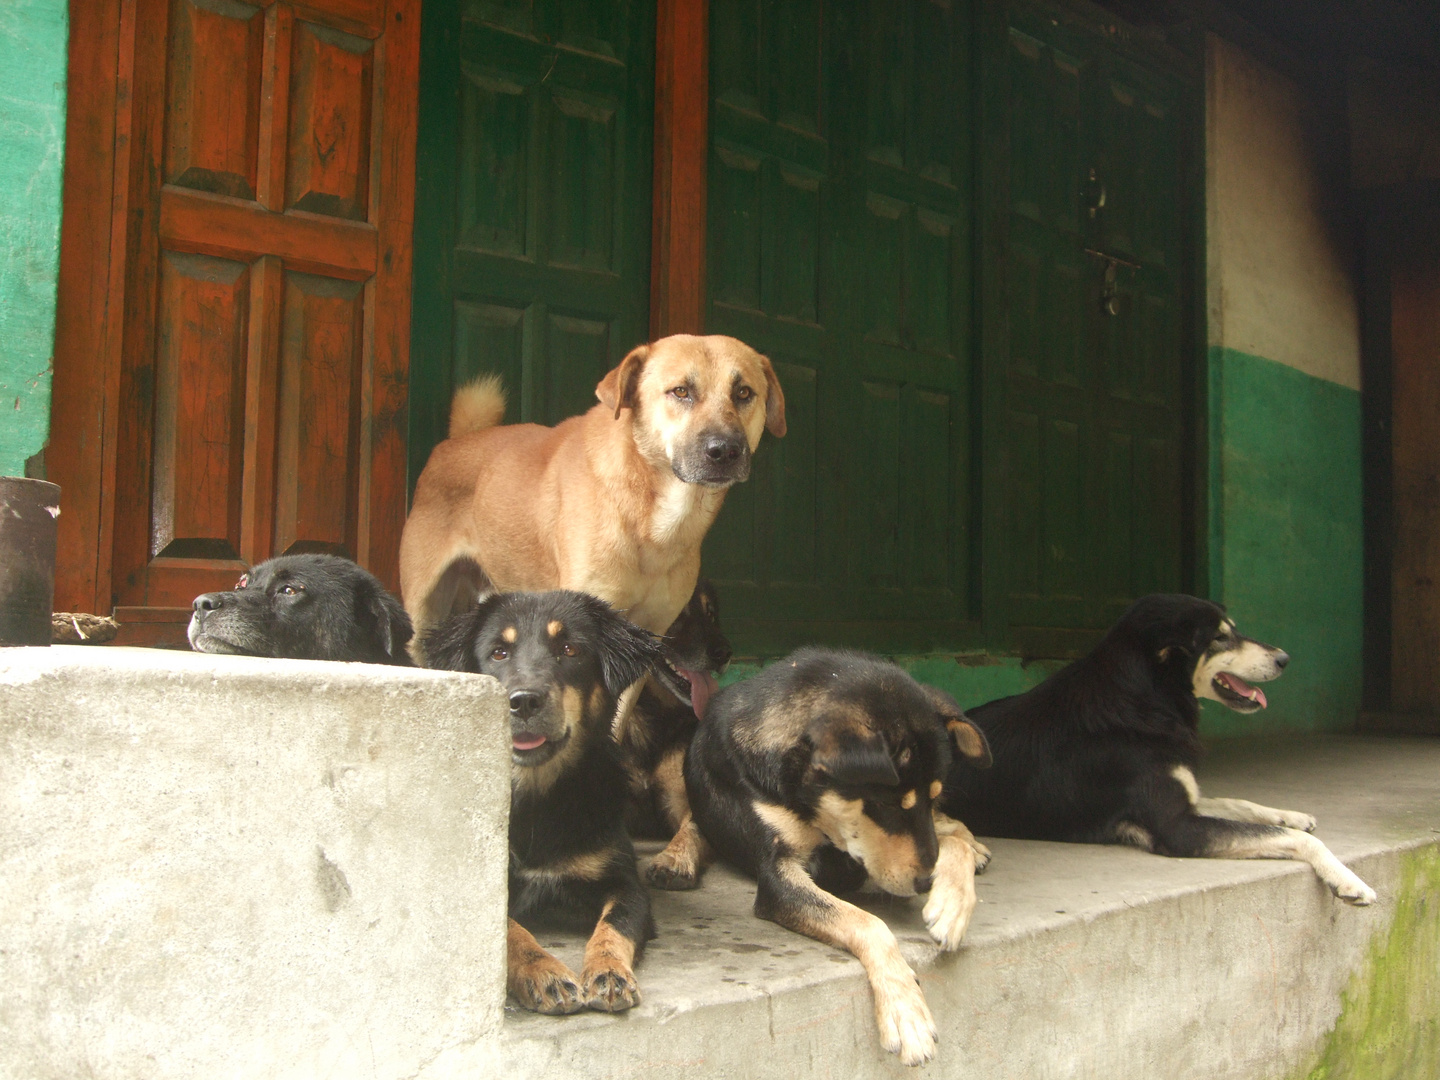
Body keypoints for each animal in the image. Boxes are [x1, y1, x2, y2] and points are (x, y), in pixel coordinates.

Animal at [397, 334, 789, 656]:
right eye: (681, 391)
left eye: (743, 393)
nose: (725, 451)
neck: (653, 517)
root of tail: (455, 441)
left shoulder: (649, 634)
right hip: (423, 614)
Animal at [420, 593, 691, 1013]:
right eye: (498, 653)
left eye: (569, 650)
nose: (524, 702)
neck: (537, 804)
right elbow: (511, 931)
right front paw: (544, 973)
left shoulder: (624, 884)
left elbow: (614, 927)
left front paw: (608, 972)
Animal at [682, 648, 990, 1071]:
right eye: (885, 806)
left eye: (932, 797)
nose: (926, 883)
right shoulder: (780, 876)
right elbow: (870, 923)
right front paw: (904, 1009)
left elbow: (943, 845)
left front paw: (952, 904)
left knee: (953, 830)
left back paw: (974, 848)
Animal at [938, 596, 1376, 910]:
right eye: (1220, 638)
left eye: (1233, 631)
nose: (1285, 658)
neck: (1142, 700)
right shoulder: (1176, 827)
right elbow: (1295, 840)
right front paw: (1347, 878)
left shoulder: (1185, 797)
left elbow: (1240, 804)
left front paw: (1291, 814)